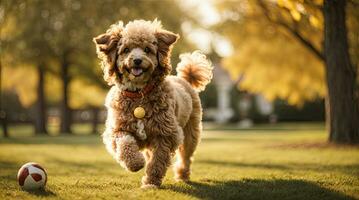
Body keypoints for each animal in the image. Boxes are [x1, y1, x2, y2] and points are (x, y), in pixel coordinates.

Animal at [93, 19, 214, 188]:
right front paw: (135, 163)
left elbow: (158, 161)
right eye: (126, 50)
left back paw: (182, 175)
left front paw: (151, 183)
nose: (137, 60)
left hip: (191, 133)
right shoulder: (118, 129)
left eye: (147, 49)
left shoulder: (166, 134)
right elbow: (125, 143)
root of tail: (184, 79)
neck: (139, 95)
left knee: (186, 157)